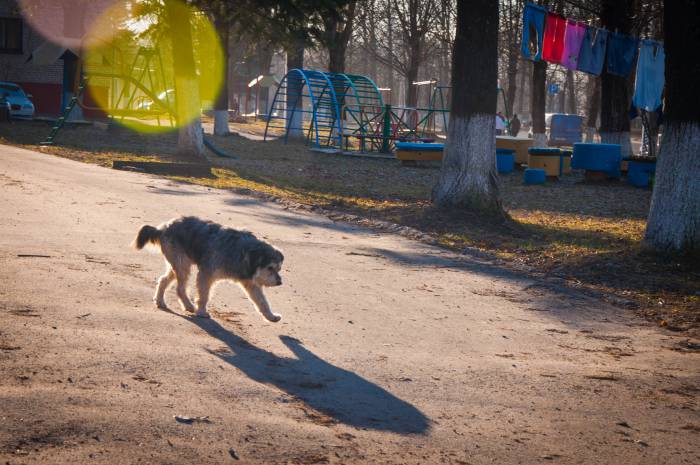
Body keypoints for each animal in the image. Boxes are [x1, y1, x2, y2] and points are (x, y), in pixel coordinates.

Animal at [133, 217, 284, 320]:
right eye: (270, 267)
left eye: (278, 268)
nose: (279, 282)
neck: (242, 252)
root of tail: (163, 228)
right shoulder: (206, 274)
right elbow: (204, 295)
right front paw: (202, 311)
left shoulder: (250, 283)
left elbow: (262, 301)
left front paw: (271, 316)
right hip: (182, 264)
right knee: (180, 288)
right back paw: (188, 306)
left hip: (177, 264)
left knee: (163, 280)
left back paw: (160, 301)